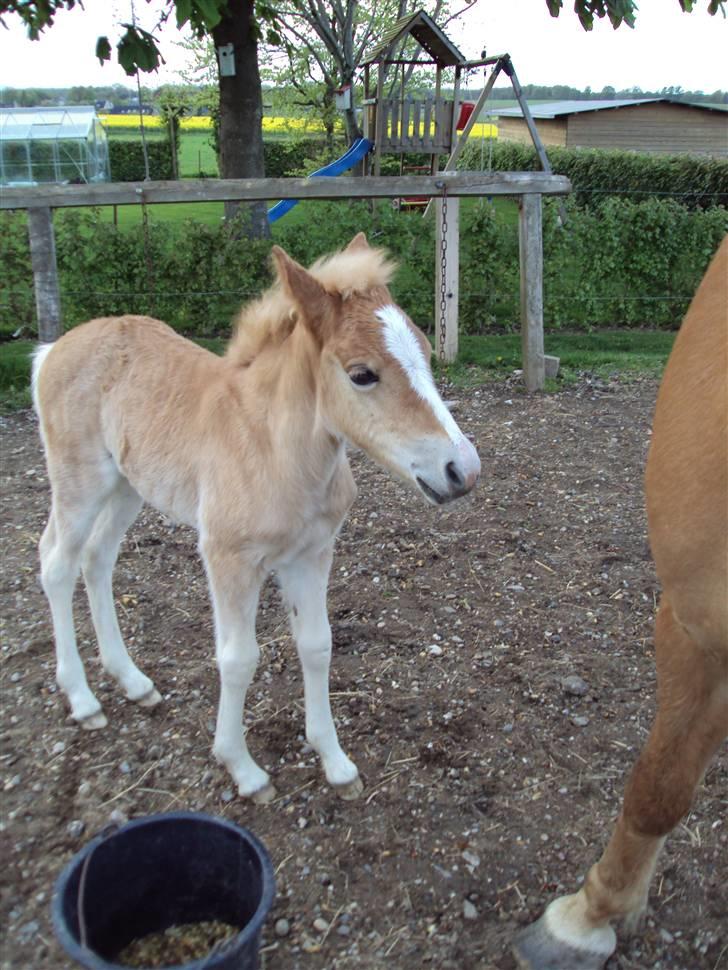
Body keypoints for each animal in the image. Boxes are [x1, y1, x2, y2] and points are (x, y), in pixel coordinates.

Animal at [34, 234, 480, 800]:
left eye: (425, 350)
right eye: (362, 374)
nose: (462, 470)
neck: (275, 451)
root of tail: (54, 349)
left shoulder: (311, 555)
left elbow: (317, 645)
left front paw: (335, 763)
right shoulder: (229, 559)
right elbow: (238, 658)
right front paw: (243, 770)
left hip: (127, 486)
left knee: (97, 560)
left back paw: (133, 682)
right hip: (80, 483)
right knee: (57, 563)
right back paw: (84, 699)